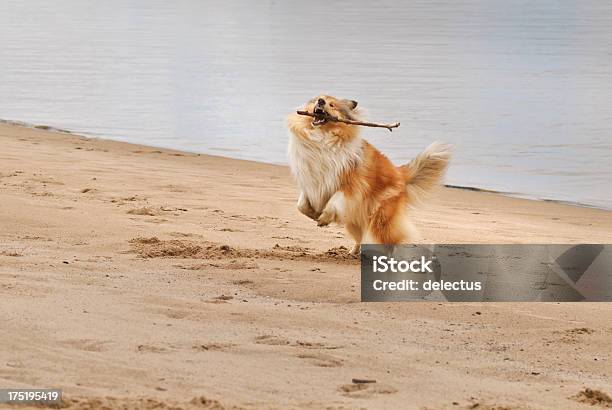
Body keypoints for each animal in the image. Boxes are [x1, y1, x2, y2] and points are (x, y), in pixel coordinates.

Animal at [286, 95, 450, 253]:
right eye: (317, 98)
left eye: (332, 105)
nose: (320, 101)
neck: (322, 138)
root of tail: (400, 173)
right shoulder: (310, 181)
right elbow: (301, 205)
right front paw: (314, 215)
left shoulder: (350, 186)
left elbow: (334, 201)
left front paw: (324, 217)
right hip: (354, 221)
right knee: (360, 238)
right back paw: (351, 253)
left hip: (381, 219)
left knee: (393, 241)